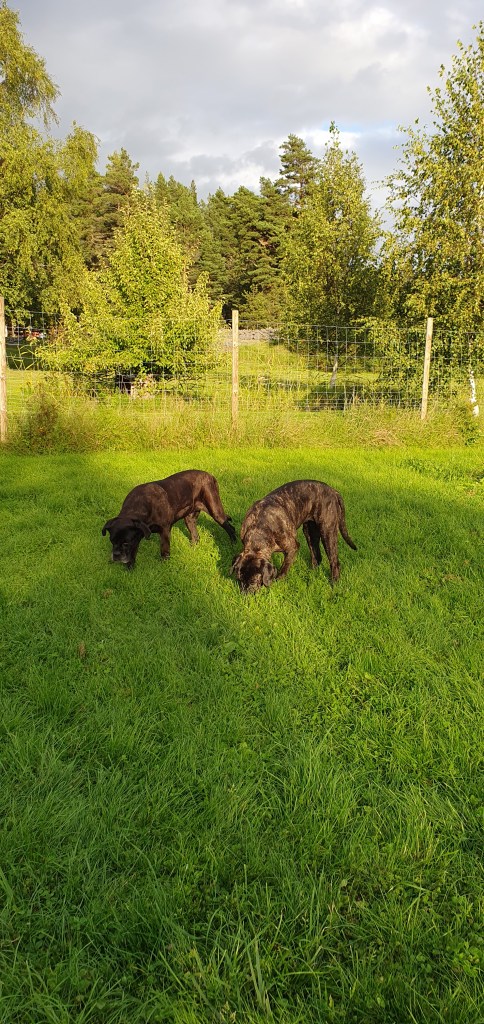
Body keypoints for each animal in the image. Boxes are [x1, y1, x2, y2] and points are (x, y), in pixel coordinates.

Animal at [102, 469, 236, 569]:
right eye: (112, 541)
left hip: (216, 511)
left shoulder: (164, 530)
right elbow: (133, 552)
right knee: (195, 536)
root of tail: (210, 475)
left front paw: (164, 565)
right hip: (189, 519)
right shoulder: (137, 535)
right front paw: (130, 568)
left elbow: (164, 549)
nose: (116, 555)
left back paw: (233, 544)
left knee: (230, 528)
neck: (141, 505)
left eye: (125, 543)